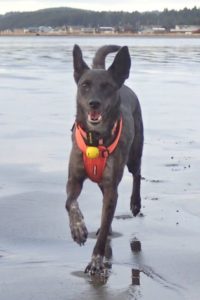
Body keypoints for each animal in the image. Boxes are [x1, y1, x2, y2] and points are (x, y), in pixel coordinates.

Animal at [66, 44, 144, 274]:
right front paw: (78, 228)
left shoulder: (111, 186)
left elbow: (104, 224)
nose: (94, 103)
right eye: (85, 85)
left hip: (134, 153)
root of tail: (125, 86)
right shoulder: (74, 179)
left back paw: (135, 203)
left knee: (137, 173)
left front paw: (96, 261)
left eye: (107, 86)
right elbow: (70, 203)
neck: (95, 138)